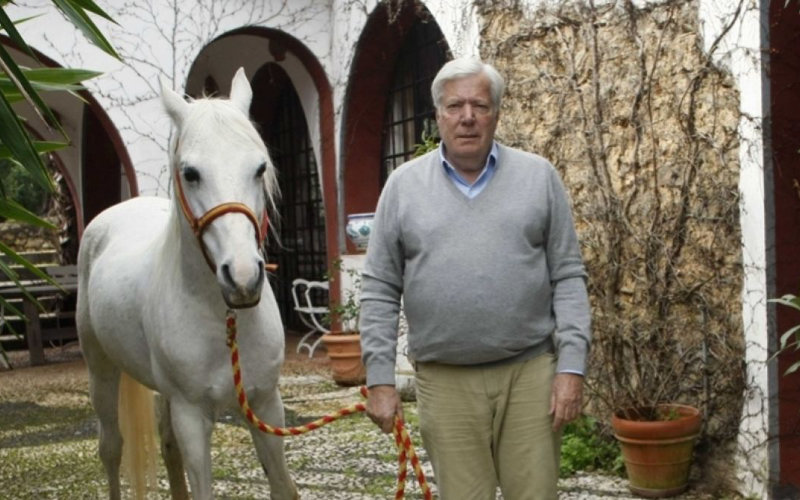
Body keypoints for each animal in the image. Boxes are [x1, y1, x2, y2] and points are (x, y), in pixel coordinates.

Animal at [76, 67, 296, 500]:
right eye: (190, 173)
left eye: (260, 168)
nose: (242, 278)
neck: (223, 318)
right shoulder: (192, 416)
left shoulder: (265, 404)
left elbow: (281, 485)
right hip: (101, 370)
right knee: (111, 448)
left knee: (166, 446)